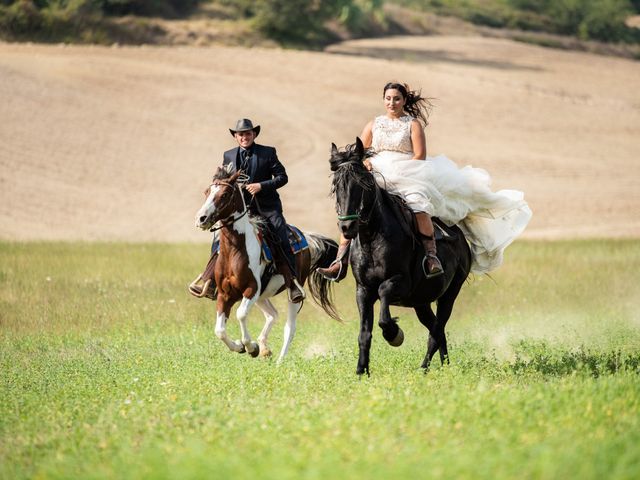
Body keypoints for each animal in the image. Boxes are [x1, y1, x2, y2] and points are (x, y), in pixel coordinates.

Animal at [194, 167, 340, 362]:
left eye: (224, 194)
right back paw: (264, 348)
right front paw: (241, 346)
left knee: (289, 327)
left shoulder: (251, 289)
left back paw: (279, 360)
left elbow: (241, 314)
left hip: (291, 292)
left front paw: (250, 347)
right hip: (263, 295)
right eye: (207, 192)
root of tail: (306, 238)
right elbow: (220, 330)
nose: (201, 218)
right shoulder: (225, 294)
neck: (235, 251)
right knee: (272, 314)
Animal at [322, 139, 472, 376]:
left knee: (436, 331)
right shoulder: (363, 290)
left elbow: (384, 305)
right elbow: (364, 334)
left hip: (450, 294)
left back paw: (425, 368)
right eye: (336, 185)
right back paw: (444, 367)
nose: (347, 227)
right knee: (437, 330)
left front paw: (394, 334)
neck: (372, 239)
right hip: (421, 302)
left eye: (362, 184)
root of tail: (460, 237)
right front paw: (361, 372)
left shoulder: (400, 282)